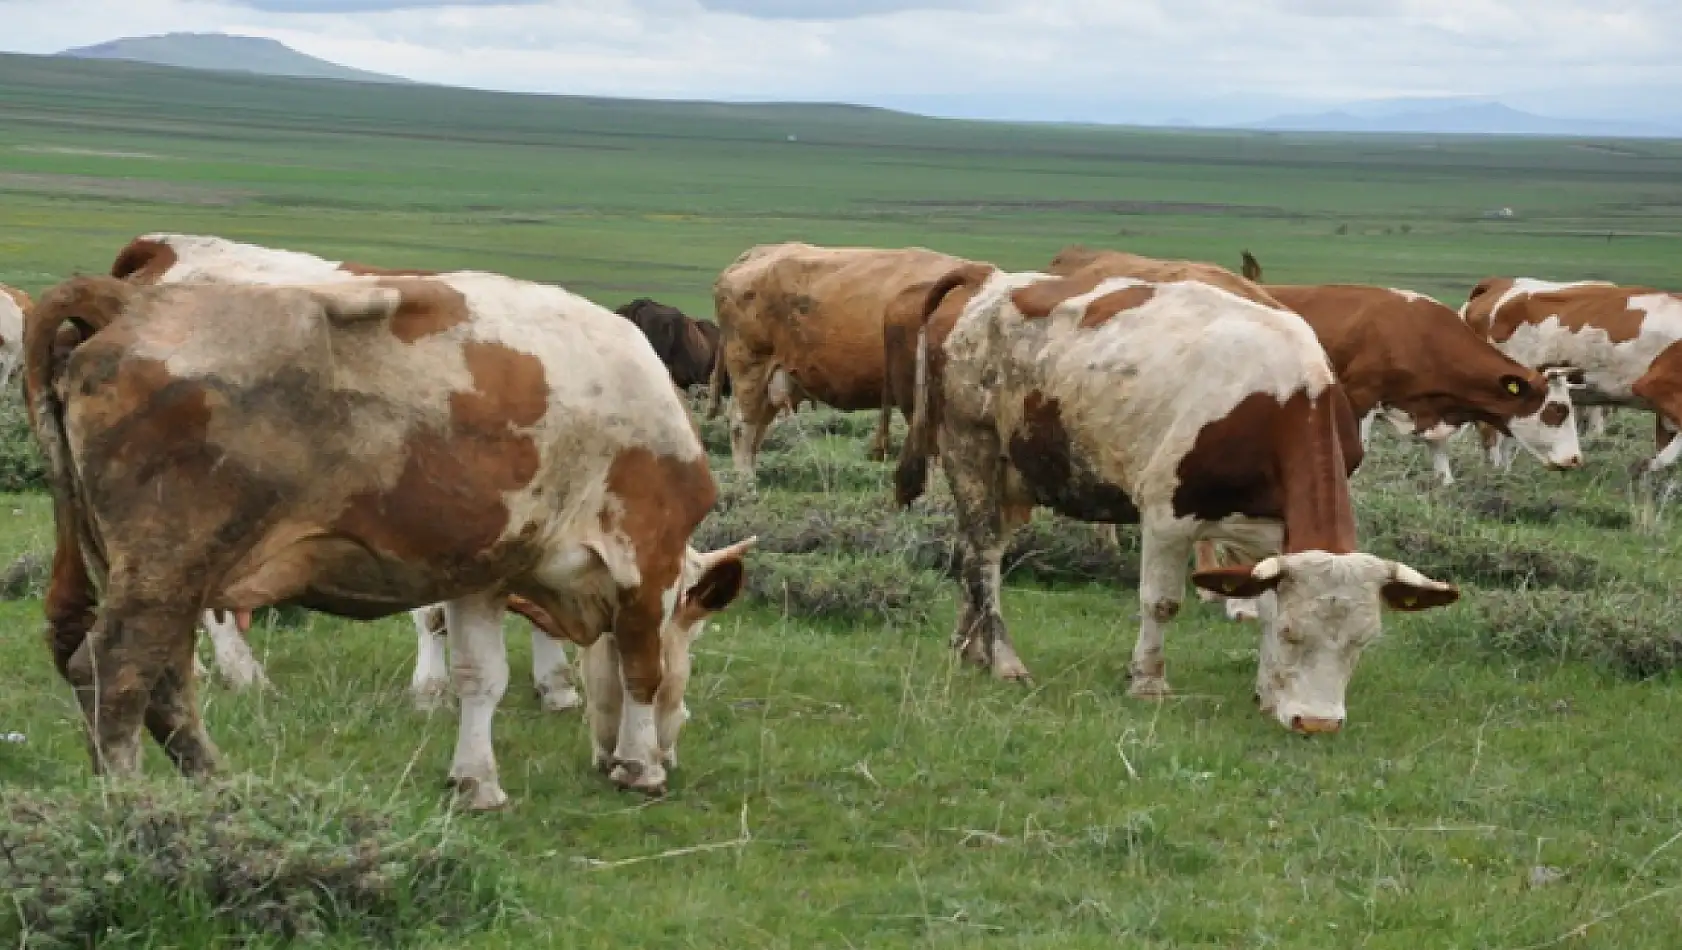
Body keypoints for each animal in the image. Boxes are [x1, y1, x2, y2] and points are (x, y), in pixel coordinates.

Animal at [894, 262, 1459, 729]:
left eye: (1363, 642)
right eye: (1296, 635)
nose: (1318, 723)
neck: (1282, 398)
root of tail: (988, 278)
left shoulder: (1271, 530)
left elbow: (1262, 602)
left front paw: (1268, 693)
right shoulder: (1167, 515)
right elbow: (1161, 602)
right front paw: (1148, 682)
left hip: (1015, 477)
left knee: (970, 551)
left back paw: (969, 648)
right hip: (971, 451)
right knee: (985, 557)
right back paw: (1005, 660)